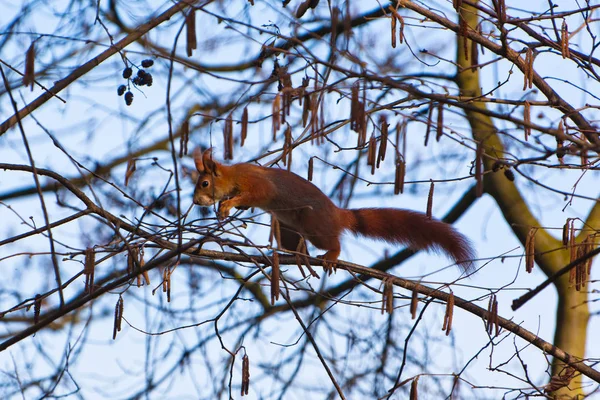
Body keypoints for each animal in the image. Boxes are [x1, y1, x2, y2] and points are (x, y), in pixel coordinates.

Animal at [195, 149, 476, 272]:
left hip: (315, 224)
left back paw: (331, 255)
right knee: (292, 242)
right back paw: (299, 256)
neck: (233, 175)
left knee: (332, 241)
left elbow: (256, 194)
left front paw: (228, 204)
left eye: (205, 183)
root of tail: (338, 213)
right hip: (288, 228)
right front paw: (228, 206)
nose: (197, 201)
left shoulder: (256, 184)